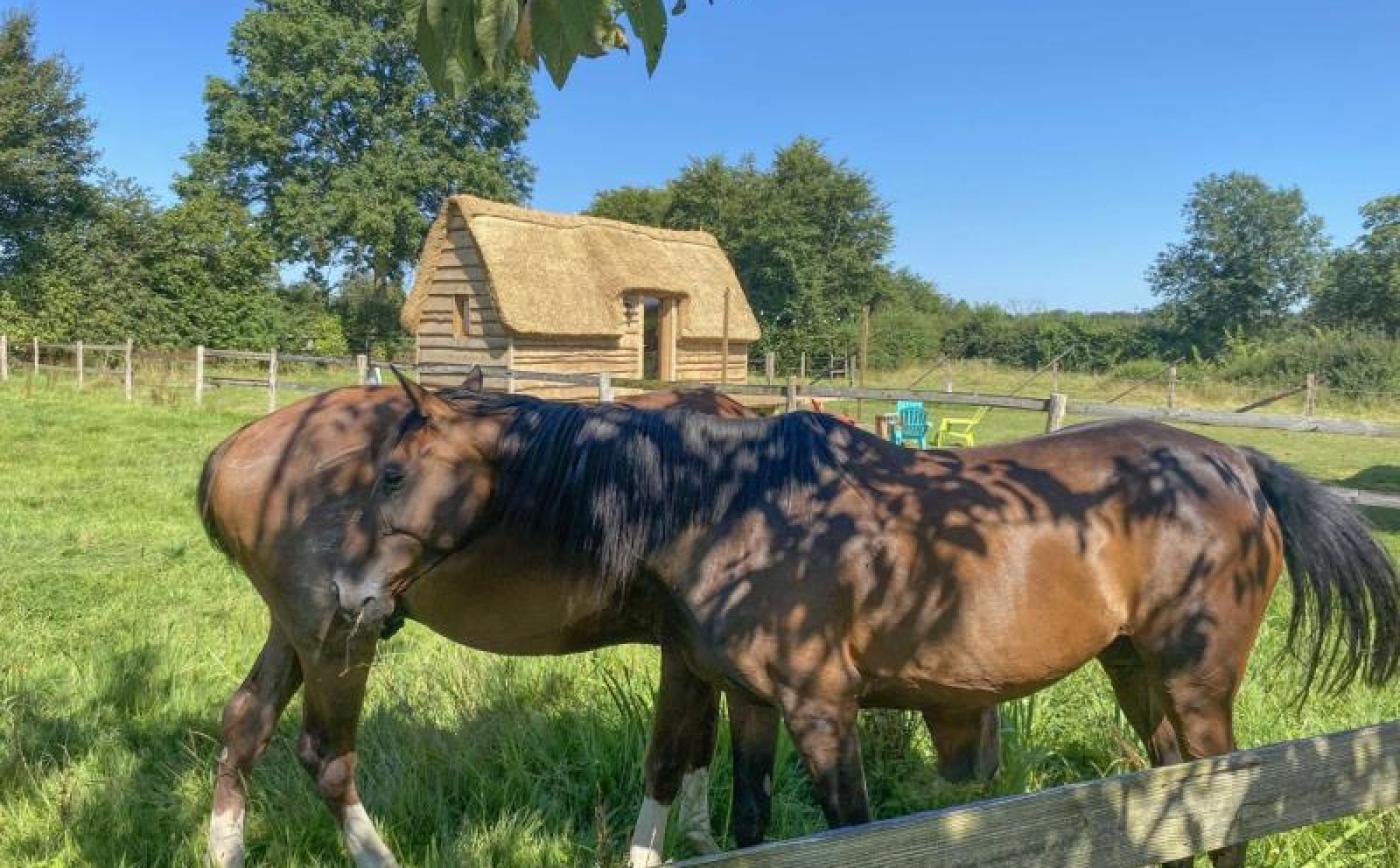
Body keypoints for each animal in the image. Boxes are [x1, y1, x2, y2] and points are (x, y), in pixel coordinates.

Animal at [200, 375, 996, 868]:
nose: (985, 765)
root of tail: (241, 446)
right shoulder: (691, 653)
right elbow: (675, 758)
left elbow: (699, 750)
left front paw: (703, 841)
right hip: (339, 636)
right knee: (324, 755)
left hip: (301, 628)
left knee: (246, 723)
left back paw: (224, 847)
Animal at [361, 375, 1400, 868]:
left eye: (393, 473)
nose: (358, 600)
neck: (738, 507)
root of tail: (1239, 465)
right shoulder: (751, 707)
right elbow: (752, 828)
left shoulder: (825, 712)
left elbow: (850, 831)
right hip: (1135, 673)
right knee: (1177, 796)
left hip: (1194, 682)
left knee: (1232, 810)